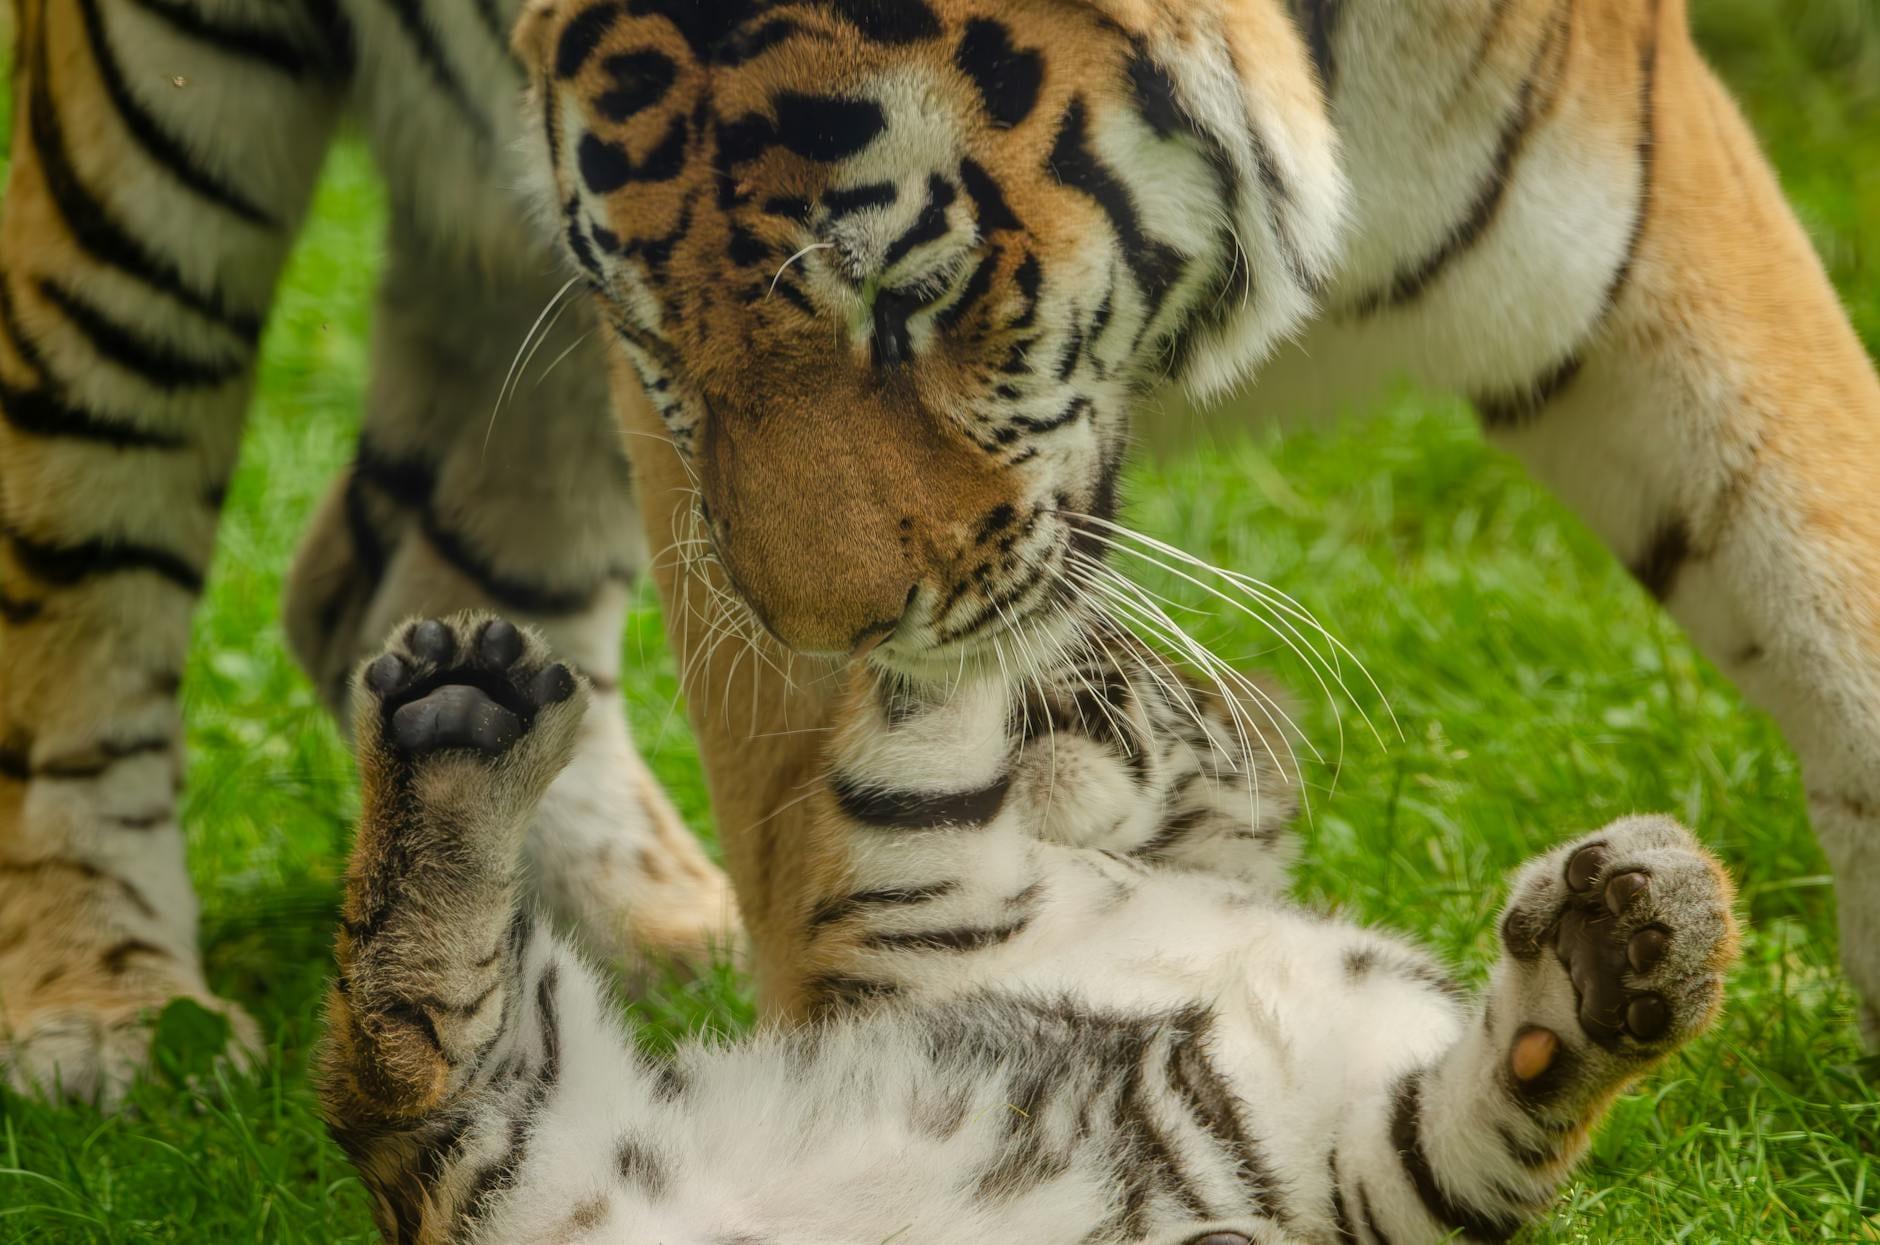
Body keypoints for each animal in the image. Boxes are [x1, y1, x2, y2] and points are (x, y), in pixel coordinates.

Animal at [321, 608, 1738, 1244]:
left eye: (1153, 677)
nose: (1086, 644)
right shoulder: (914, 890)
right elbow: (924, 745)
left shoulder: (1369, 1173)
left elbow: (1499, 1098)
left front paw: (1608, 951)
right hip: (512, 1131)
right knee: (399, 1044)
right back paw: (456, 721)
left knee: (404, 1048)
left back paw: (460, 716)